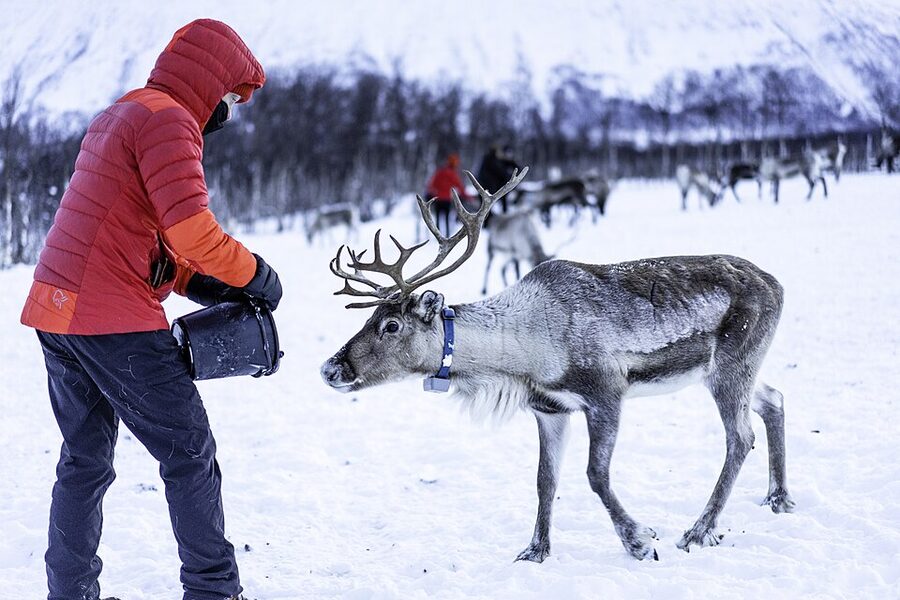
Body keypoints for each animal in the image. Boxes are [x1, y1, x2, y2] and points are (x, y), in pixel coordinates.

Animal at [320, 167, 795, 563]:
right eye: (369, 318)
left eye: (391, 325)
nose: (329, 368)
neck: (524, 355)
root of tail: (778, 284)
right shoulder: (549, 410)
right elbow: (545, 480)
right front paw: (536, 549)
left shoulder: (605, 394)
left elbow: (595, 475)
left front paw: (639, 541)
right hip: (734, 367)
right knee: (774, 399)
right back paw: (778, 497)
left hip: (732, 362)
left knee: (740, 437)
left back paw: (698, 531)